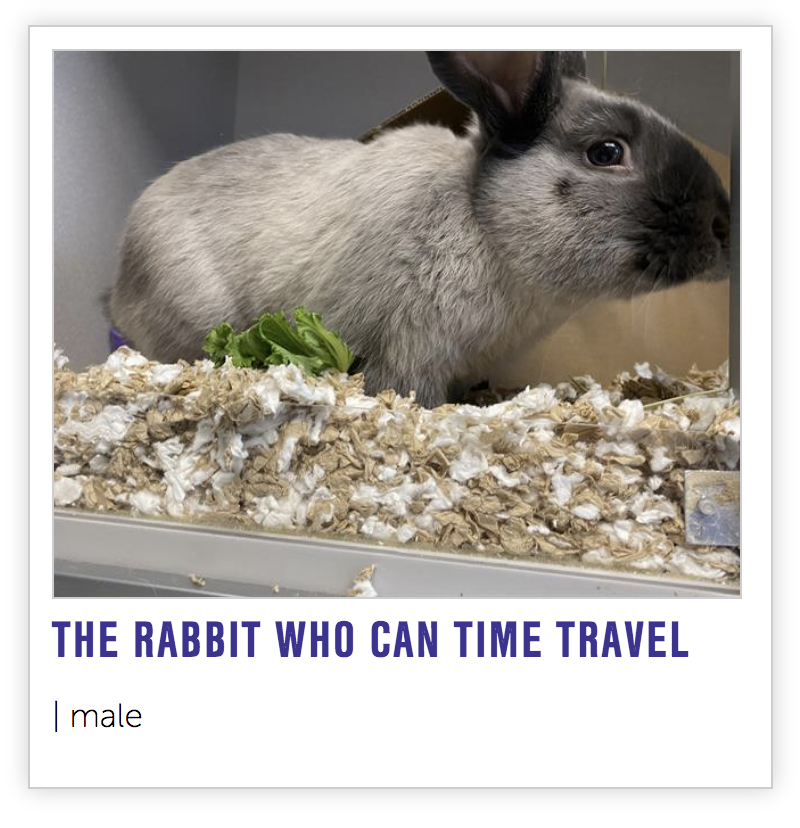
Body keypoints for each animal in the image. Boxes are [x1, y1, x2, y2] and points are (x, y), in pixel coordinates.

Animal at [109, 51, 730, 409]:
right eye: (606, 152)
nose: (726, 227)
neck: (484, 224)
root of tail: (117, 288)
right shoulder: (411, 348)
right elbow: (413, 395)